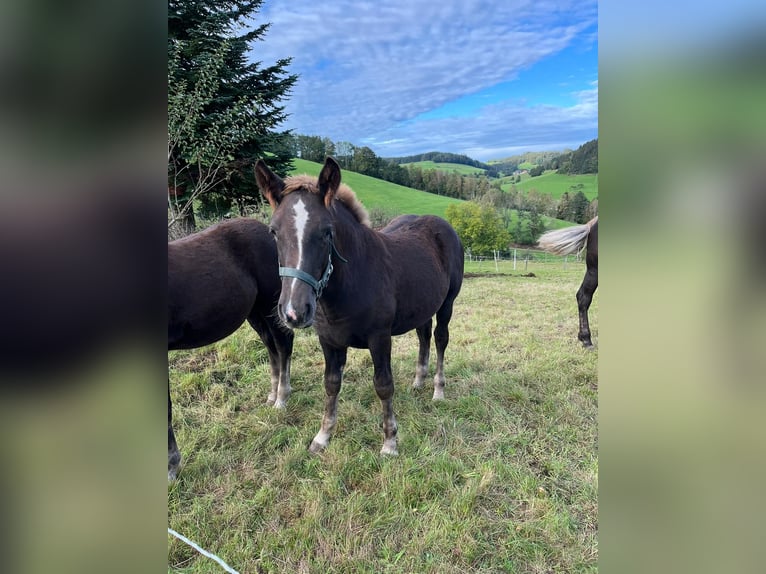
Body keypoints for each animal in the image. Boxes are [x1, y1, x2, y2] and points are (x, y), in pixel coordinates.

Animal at [168, 218, 294, 480]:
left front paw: (171, 468)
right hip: (254, 312)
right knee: (272, 348)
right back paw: (272, 396)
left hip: (269, 305)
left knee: (283, 345)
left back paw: (281, 398)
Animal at [255, 159, 464, 460]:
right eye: (273, 231)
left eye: (326, 232)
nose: (294, 312)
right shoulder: (329, 341)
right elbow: (331, 383)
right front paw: (322, 437)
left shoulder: (380, 338)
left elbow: (383, 385)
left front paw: (390, 442)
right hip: (423, 305)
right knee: (424, 336)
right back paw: (418, 381)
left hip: (447, 303)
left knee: (440, 339)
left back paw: (438, 390)